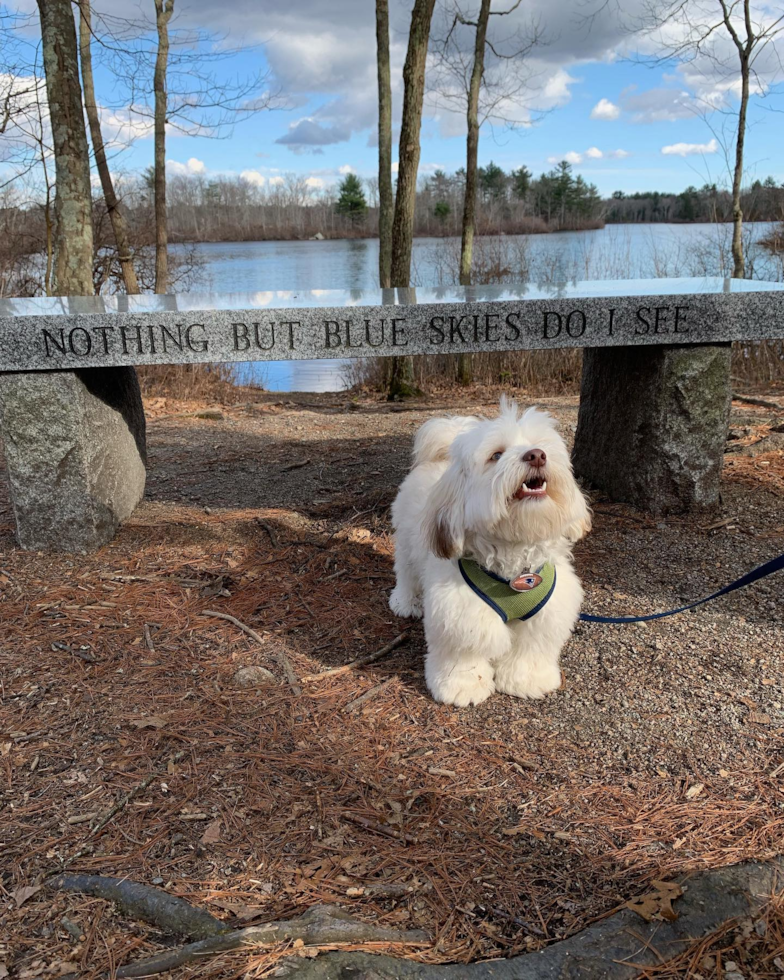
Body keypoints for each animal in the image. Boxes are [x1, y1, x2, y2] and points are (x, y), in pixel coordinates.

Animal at [388, 394, 592, 708]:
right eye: (496, 455)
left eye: (542, 446)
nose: (536, 455)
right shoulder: (461, 611)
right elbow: (465, 652)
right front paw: (462, 686)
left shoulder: (546, 612)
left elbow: (530, 648)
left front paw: (527, 679)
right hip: (409, 543)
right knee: (407, 573)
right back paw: (406, 602)